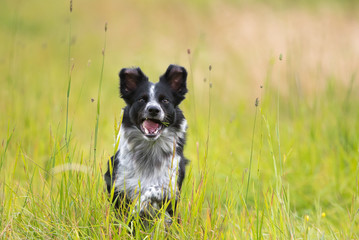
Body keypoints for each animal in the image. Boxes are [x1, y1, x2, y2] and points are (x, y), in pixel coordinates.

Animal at [104, 64, 190, 225]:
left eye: (165, 100)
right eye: (141, 99)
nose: (153, 109)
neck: (150, 150)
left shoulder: (171, 187)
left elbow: (153, 190)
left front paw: (139, 205)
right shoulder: (117, 183)